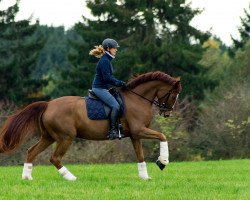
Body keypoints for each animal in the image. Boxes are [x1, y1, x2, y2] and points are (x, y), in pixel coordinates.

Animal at [0, 71, 181, 180]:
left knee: (31, 152)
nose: (167, 113)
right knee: (55, 158)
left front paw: (145, 177)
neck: (137, 99)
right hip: (66, 137)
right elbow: (162, 136)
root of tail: (48, 105)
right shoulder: (140, 131)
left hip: (49, 137)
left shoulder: (135, 135)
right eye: (174, 95)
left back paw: (27, 178)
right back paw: (71, 178)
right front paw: (163, 161)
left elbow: (140, 155)